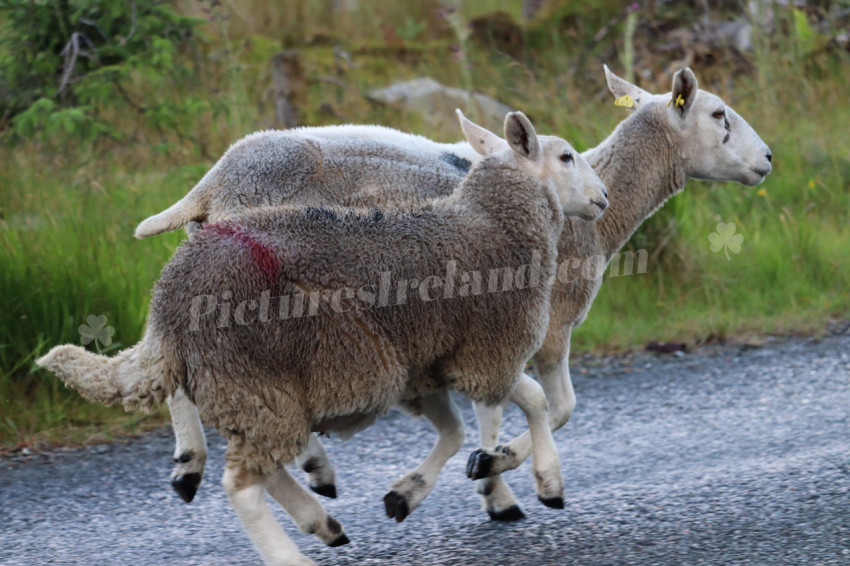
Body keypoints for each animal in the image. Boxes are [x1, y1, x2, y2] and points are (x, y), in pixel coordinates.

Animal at [38, 112, 608, 566]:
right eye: (566, 156)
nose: (602, 198)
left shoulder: (428, 361)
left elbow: (468, 425)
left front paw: (451, 481)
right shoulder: (484, 347)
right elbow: (534, 403)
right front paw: (529, 480)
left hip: (241, 362)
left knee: (234, 435)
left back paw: (296, 506)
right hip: (260, 370)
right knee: (243, 466)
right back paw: (283, 518)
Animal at [149, 63, 772, 524]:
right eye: (718, 114)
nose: (768, 158)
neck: (596, 215)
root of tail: (214, 180)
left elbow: (503, 408)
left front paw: (487, 476)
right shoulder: (539, 327)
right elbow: (551, 407)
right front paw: (501, 473)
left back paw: (200, 462)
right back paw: (270, 462)